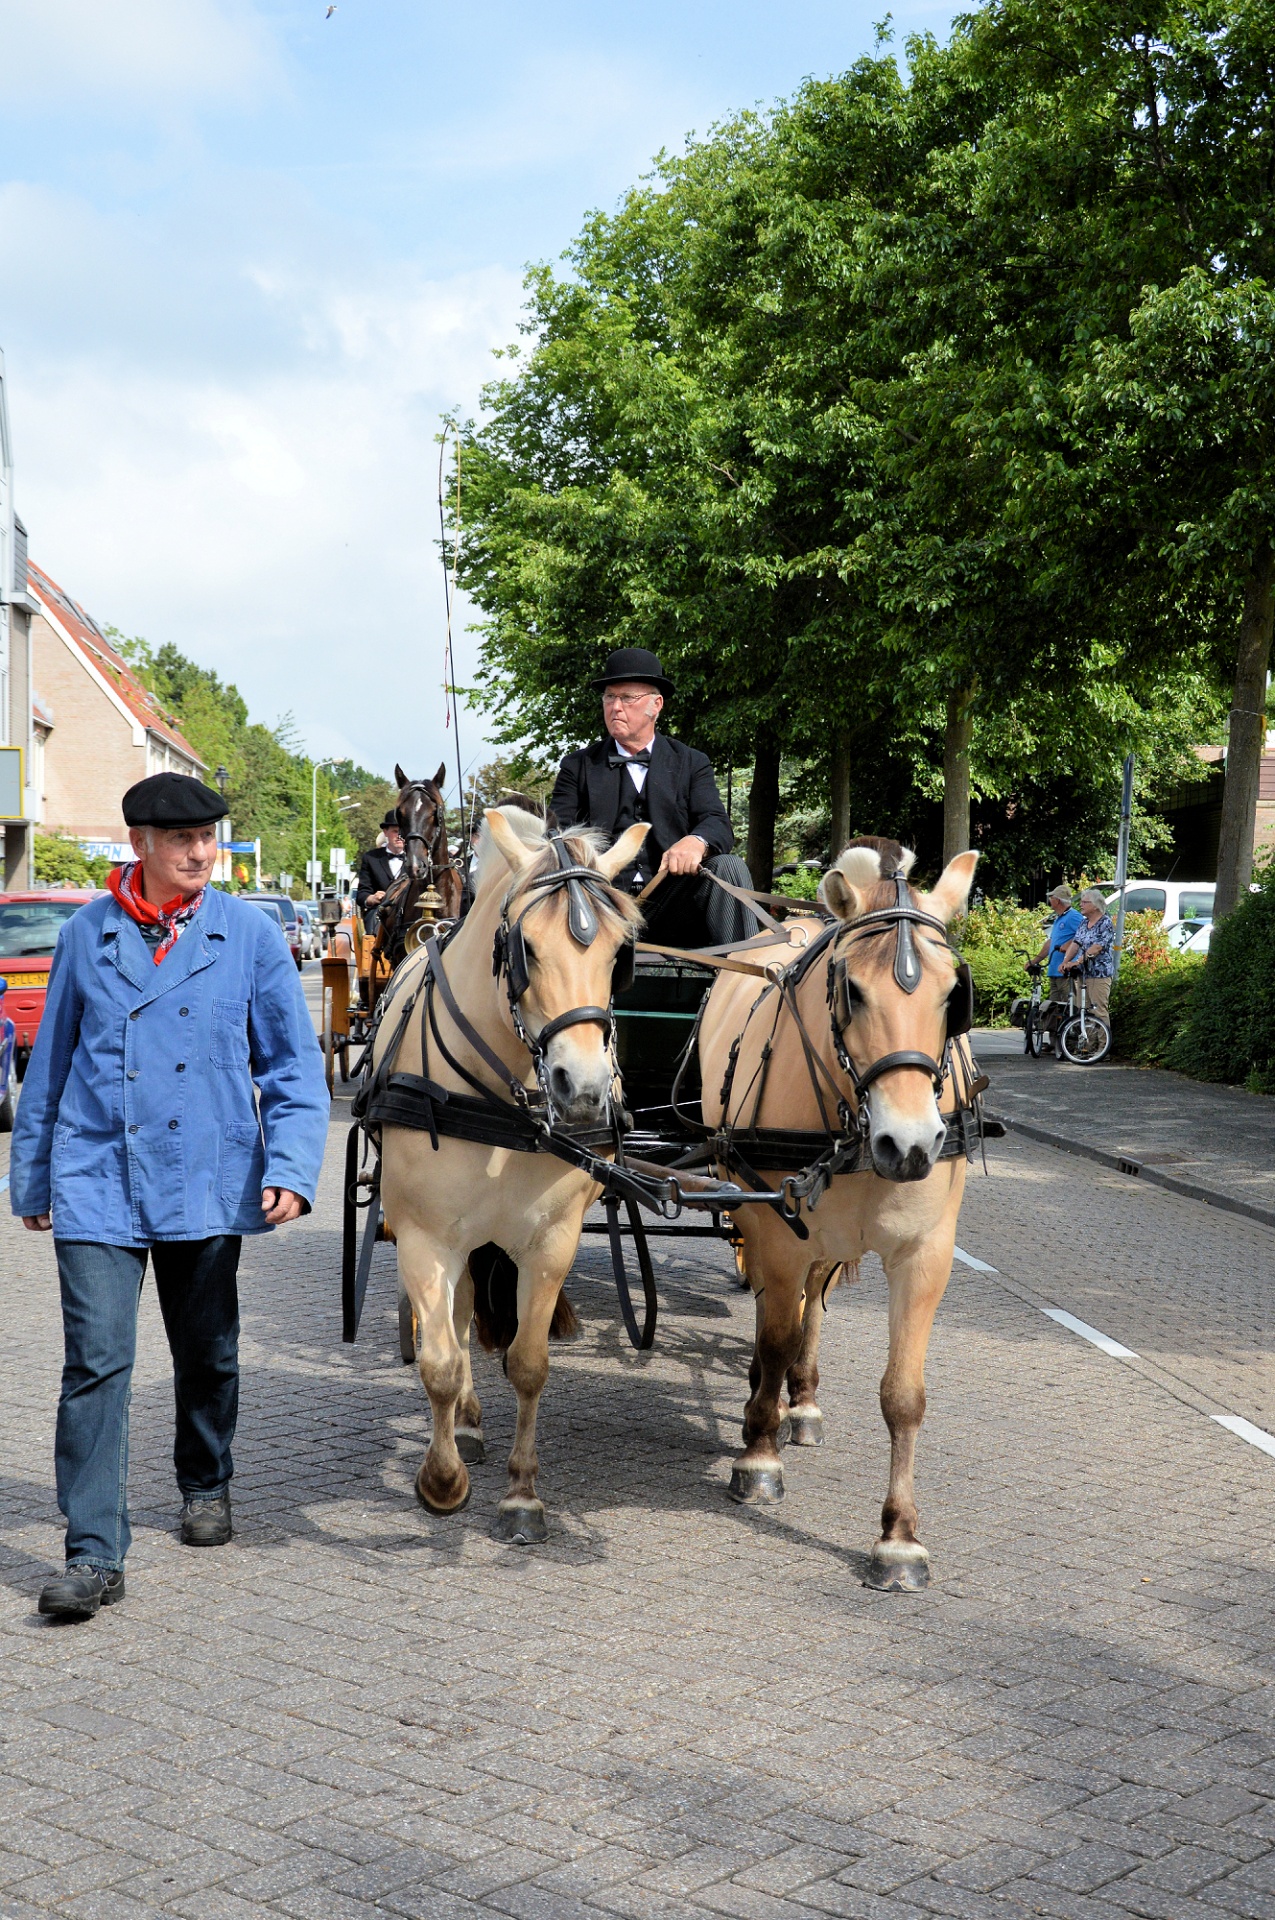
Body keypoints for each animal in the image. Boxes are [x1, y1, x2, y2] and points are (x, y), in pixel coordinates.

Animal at [370, 802, 649, 1536]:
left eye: (621, 953)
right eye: (527, 947)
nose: (582, 1089)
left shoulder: (551, 1240)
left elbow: (528, 1363)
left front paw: (523, 1493)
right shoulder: (424, 1238)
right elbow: (440, 1361)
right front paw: (442, 1479)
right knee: (462, 1317)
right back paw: (464, 1425)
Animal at [698, 840, 975, 1589]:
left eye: (954, 995)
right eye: (851, 990)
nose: (910, 1145)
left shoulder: (925, 1254)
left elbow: (903, 1393)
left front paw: (899, 1538)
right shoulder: (777, 1233)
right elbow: (773, 1336)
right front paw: (757, 1458)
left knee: (810, 1312)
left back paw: (802, 1401)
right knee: (784, 1314)